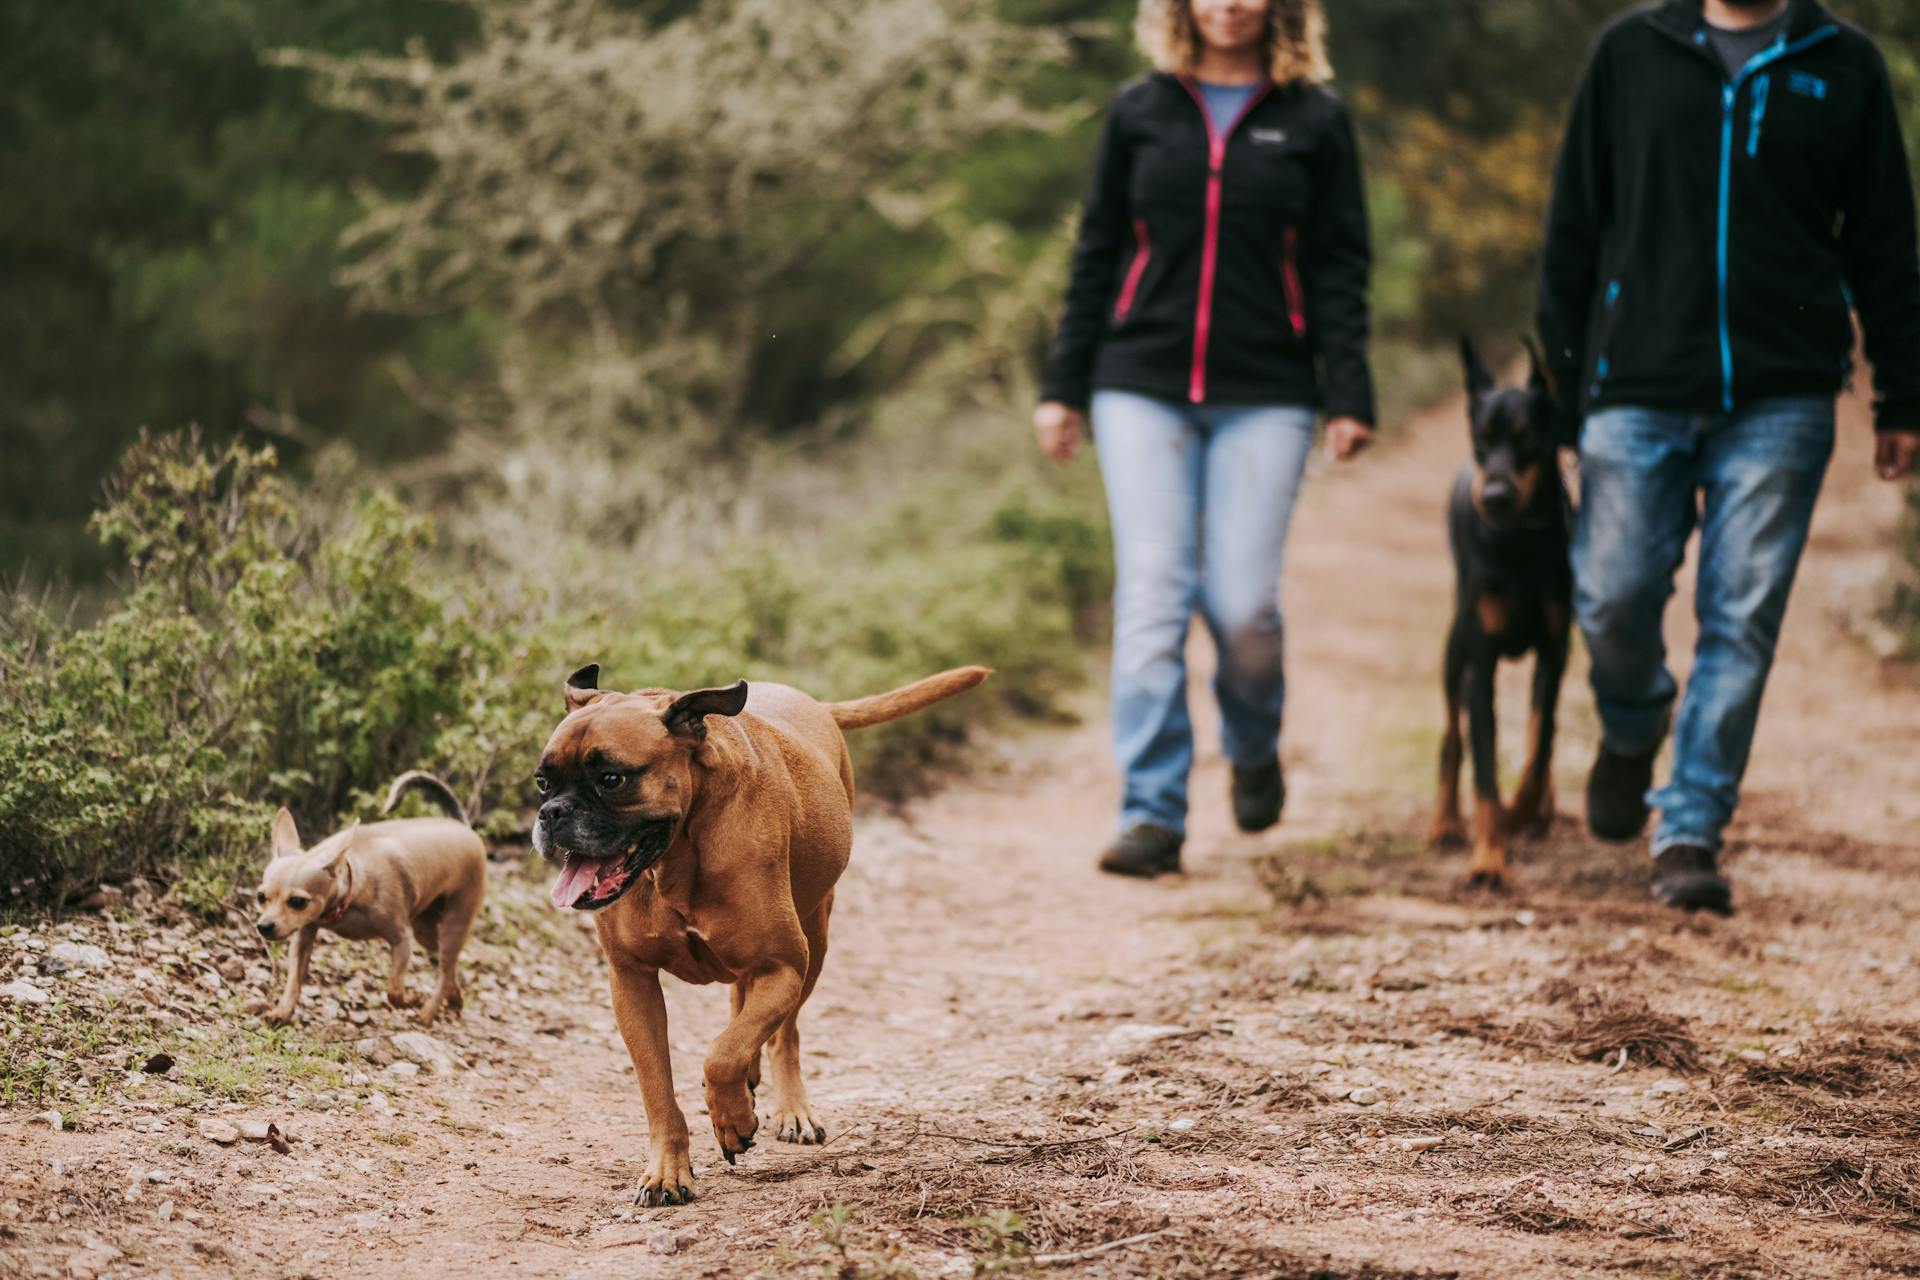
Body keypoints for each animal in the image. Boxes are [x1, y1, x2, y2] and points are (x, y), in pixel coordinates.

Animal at [255, 771, 487, 1028]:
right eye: (261, 897)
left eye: (297, 902)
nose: (263, 926)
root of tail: (464, 827)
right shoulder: (304, 937)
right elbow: (293, 981)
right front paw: (282, 1012)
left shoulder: (401, 941)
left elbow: (394, 991)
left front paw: (412, 999)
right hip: (426, 932)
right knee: (450, 967)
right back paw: (455, 998)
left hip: (453, 925)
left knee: (445, 970)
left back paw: (428, 1011)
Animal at [537, 667, 990, 1205]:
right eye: (542, 782)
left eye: (612, 779)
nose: (551, 813)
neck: (680, 851)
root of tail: (812, 703)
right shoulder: (633, 983)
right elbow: (659, 1087)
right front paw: (668, 1170)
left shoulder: (783, 966)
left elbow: (723, 1053)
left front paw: (732, 1119)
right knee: (742, 1006)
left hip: (814, 942)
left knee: (782, 1033)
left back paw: (789, 1109)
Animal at [1428, 343, 1574, 890]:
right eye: (1481, 438)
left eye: (1527, 437)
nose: (1492, 496)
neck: (1522, 541)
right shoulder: (1481, 663)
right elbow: (1484, 770)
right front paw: (1489, 858)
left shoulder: (1555, 650)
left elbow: (1539, 742)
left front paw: (1520, 813)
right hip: (1454, 650)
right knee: (1451, 737)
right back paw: (1445, 822)